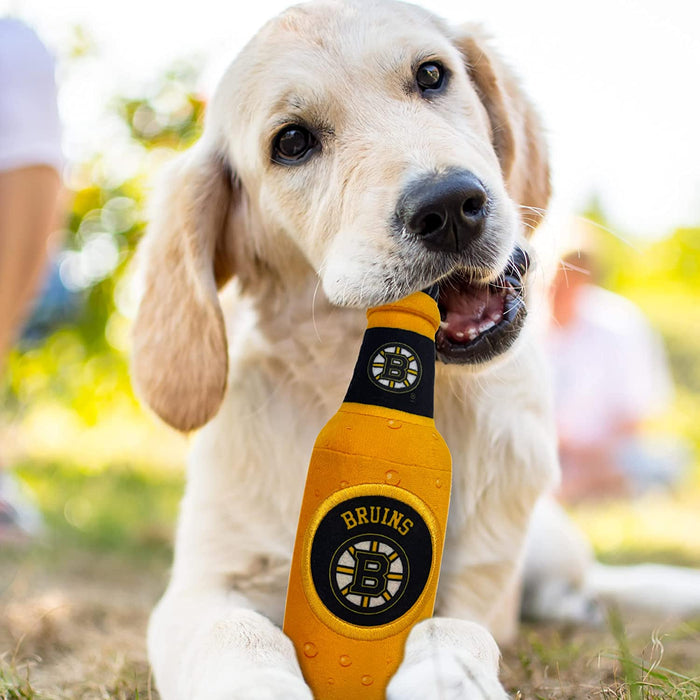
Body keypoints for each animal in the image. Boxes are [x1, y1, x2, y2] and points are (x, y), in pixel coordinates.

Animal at [131, 2, 556, 696]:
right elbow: (235, 631)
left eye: (432, 75)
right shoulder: (201, 584)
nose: (451, 206)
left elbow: (452, 627)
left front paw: (448, 678)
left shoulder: (480, 586)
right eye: (292, 142)